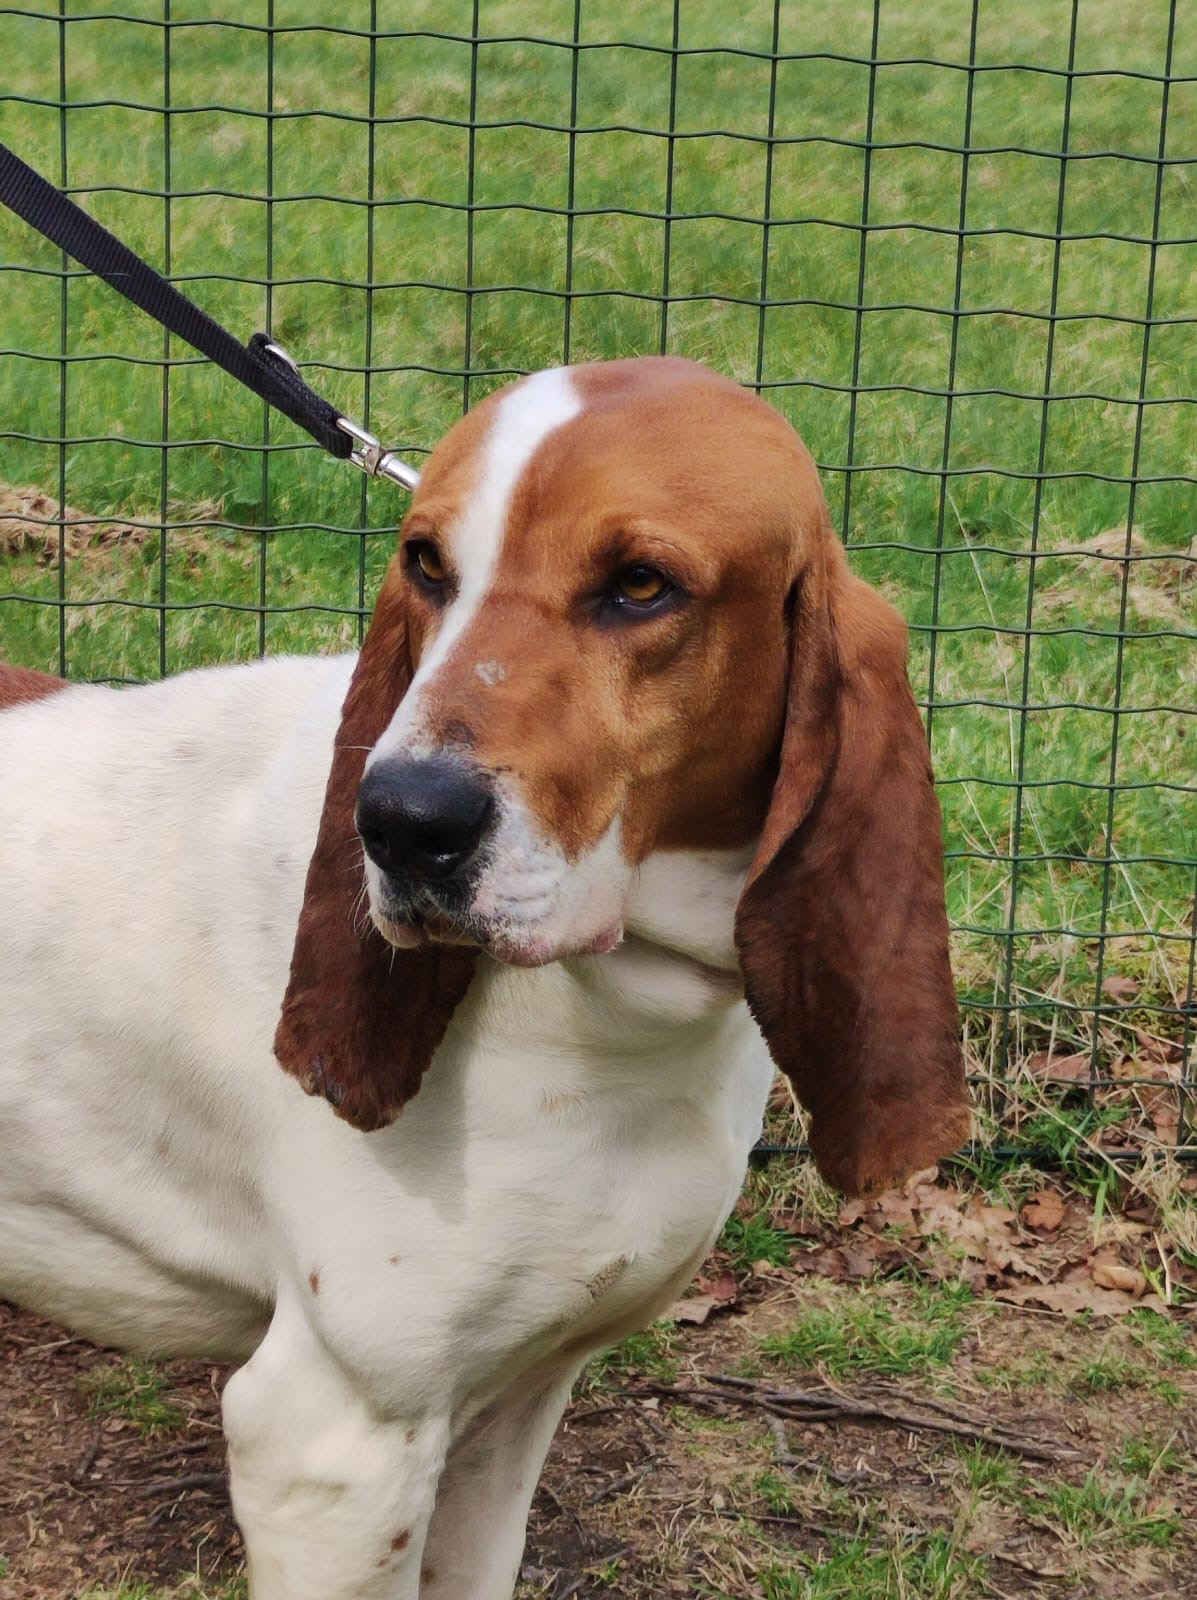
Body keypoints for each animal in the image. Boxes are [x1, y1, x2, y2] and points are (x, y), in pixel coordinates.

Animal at [0, 357, 969, 1599]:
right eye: (427, 563)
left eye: (641, 584)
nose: (400, 824)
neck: (613, 1020)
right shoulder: (331, 1446)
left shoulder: (517, 1395)